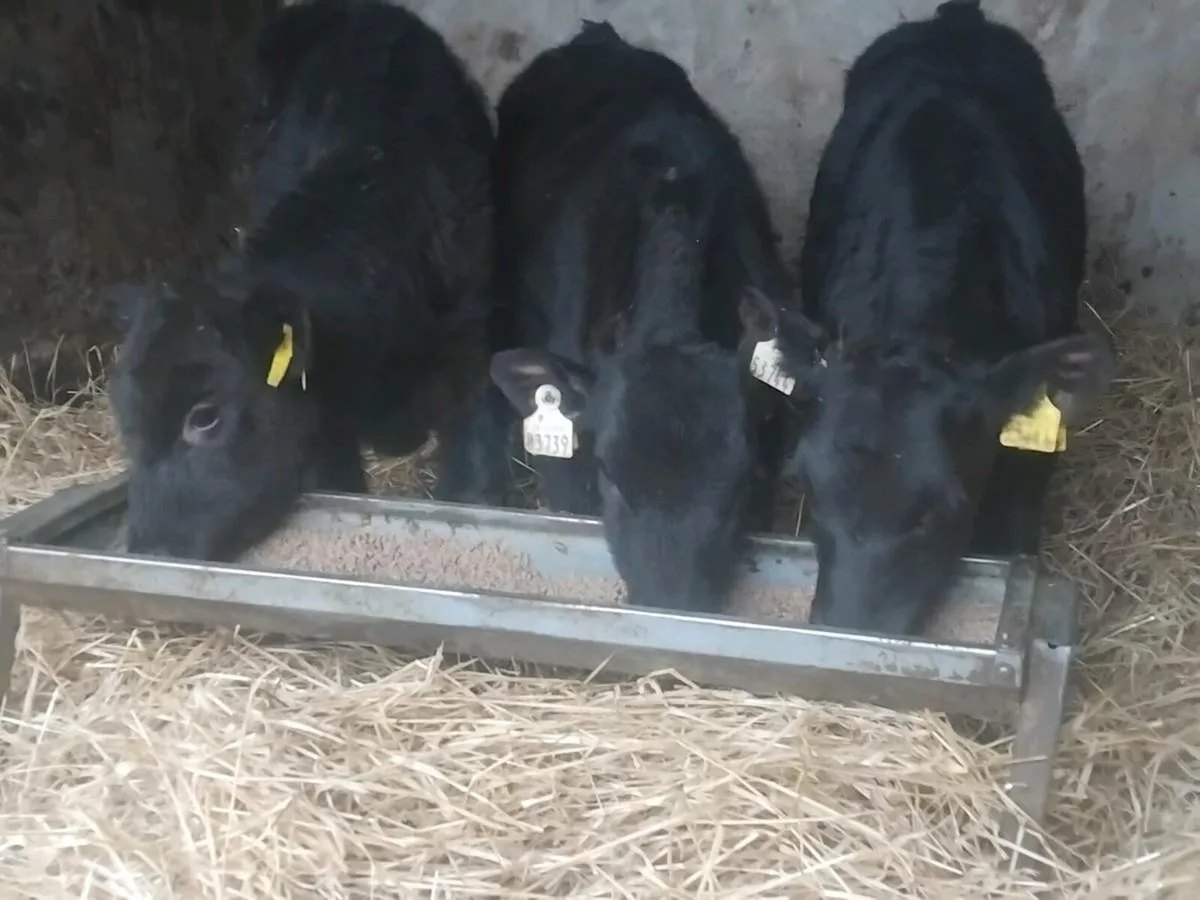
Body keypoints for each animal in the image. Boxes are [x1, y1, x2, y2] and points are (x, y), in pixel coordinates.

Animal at [109, 0, 497, 561]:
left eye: (205, 416)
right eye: (125, 423)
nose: (147, 549)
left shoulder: (475, 346)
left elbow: (473, 481)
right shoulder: (324, 413)